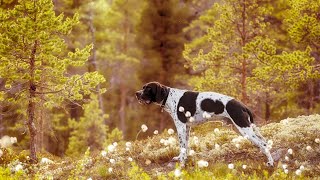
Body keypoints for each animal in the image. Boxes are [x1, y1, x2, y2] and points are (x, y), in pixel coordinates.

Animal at [134, 81, 274, 166]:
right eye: (143, 88)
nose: (136, 93)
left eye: (148, 88)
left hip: (244, 128)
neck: (170, 97)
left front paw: (182, 164)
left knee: (263, 144)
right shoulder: (187, 128)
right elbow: (185, 146)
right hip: (240, 128)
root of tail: (242, 105)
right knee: (264, 142)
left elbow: (182, 146)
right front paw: (182, 159)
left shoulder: (181, 127)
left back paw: (271, 163)